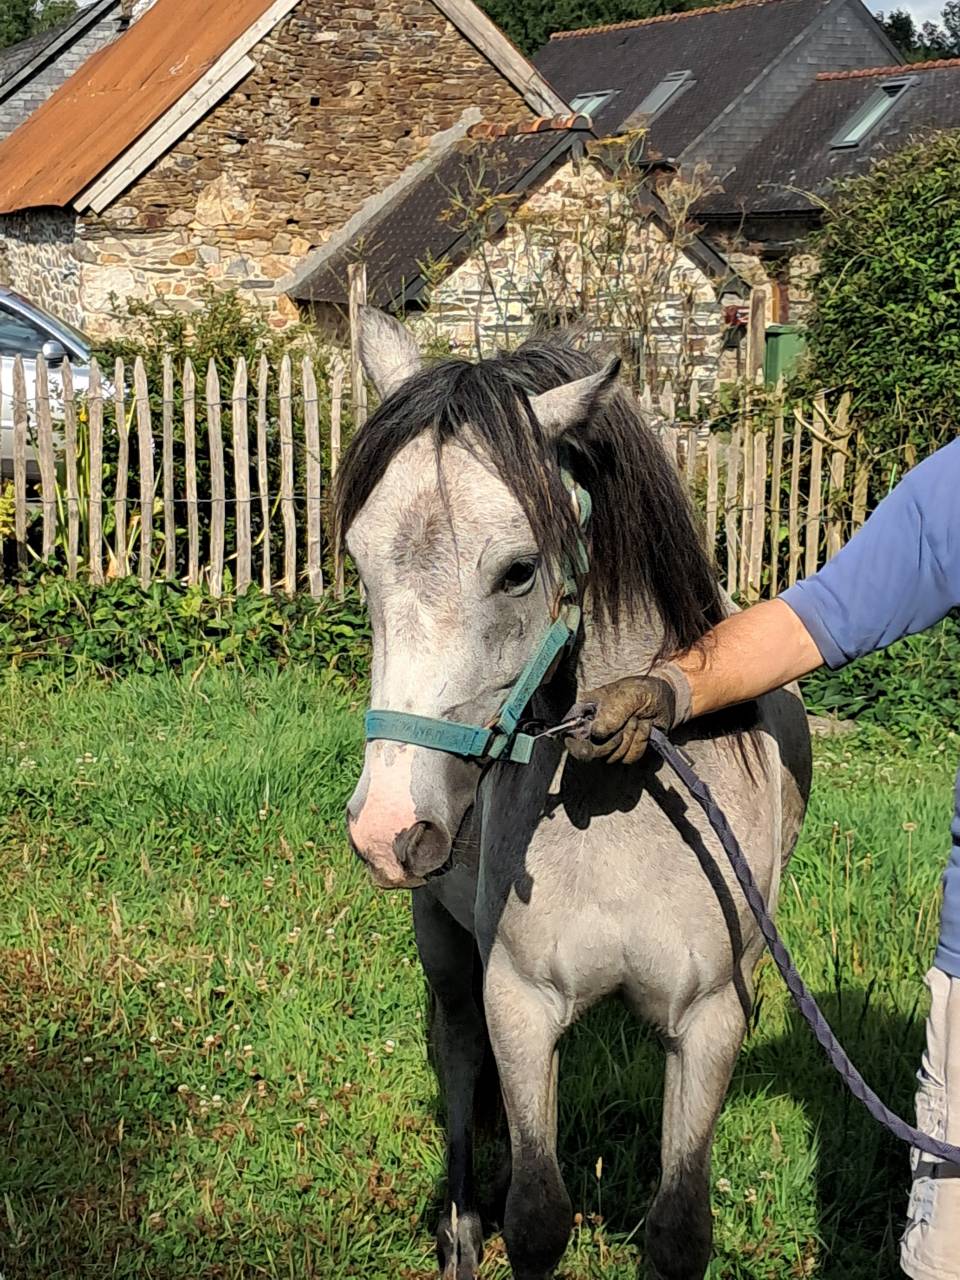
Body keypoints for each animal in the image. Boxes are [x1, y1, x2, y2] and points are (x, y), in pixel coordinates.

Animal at [336, 308, 812, 1280]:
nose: (388, 827)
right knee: (458, 1063)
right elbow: (538, 1214)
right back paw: (460, 1229)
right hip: (442, 942)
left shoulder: (711, 1021)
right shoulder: (518, 1002)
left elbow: (678, 1227)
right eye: (360, 565)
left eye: (519, 570)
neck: (624, 809)